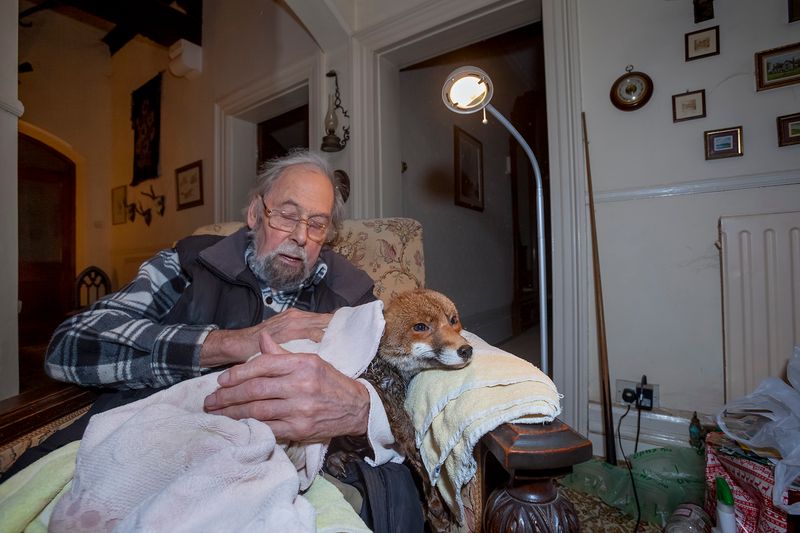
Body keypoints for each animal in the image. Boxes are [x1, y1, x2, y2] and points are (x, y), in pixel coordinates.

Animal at [325, 288, 473, 533]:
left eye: (453, 320)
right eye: (421, 327)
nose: (466, 350)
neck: (384, 368)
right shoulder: (388, 403)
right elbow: (418, 455)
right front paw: (436, 504)